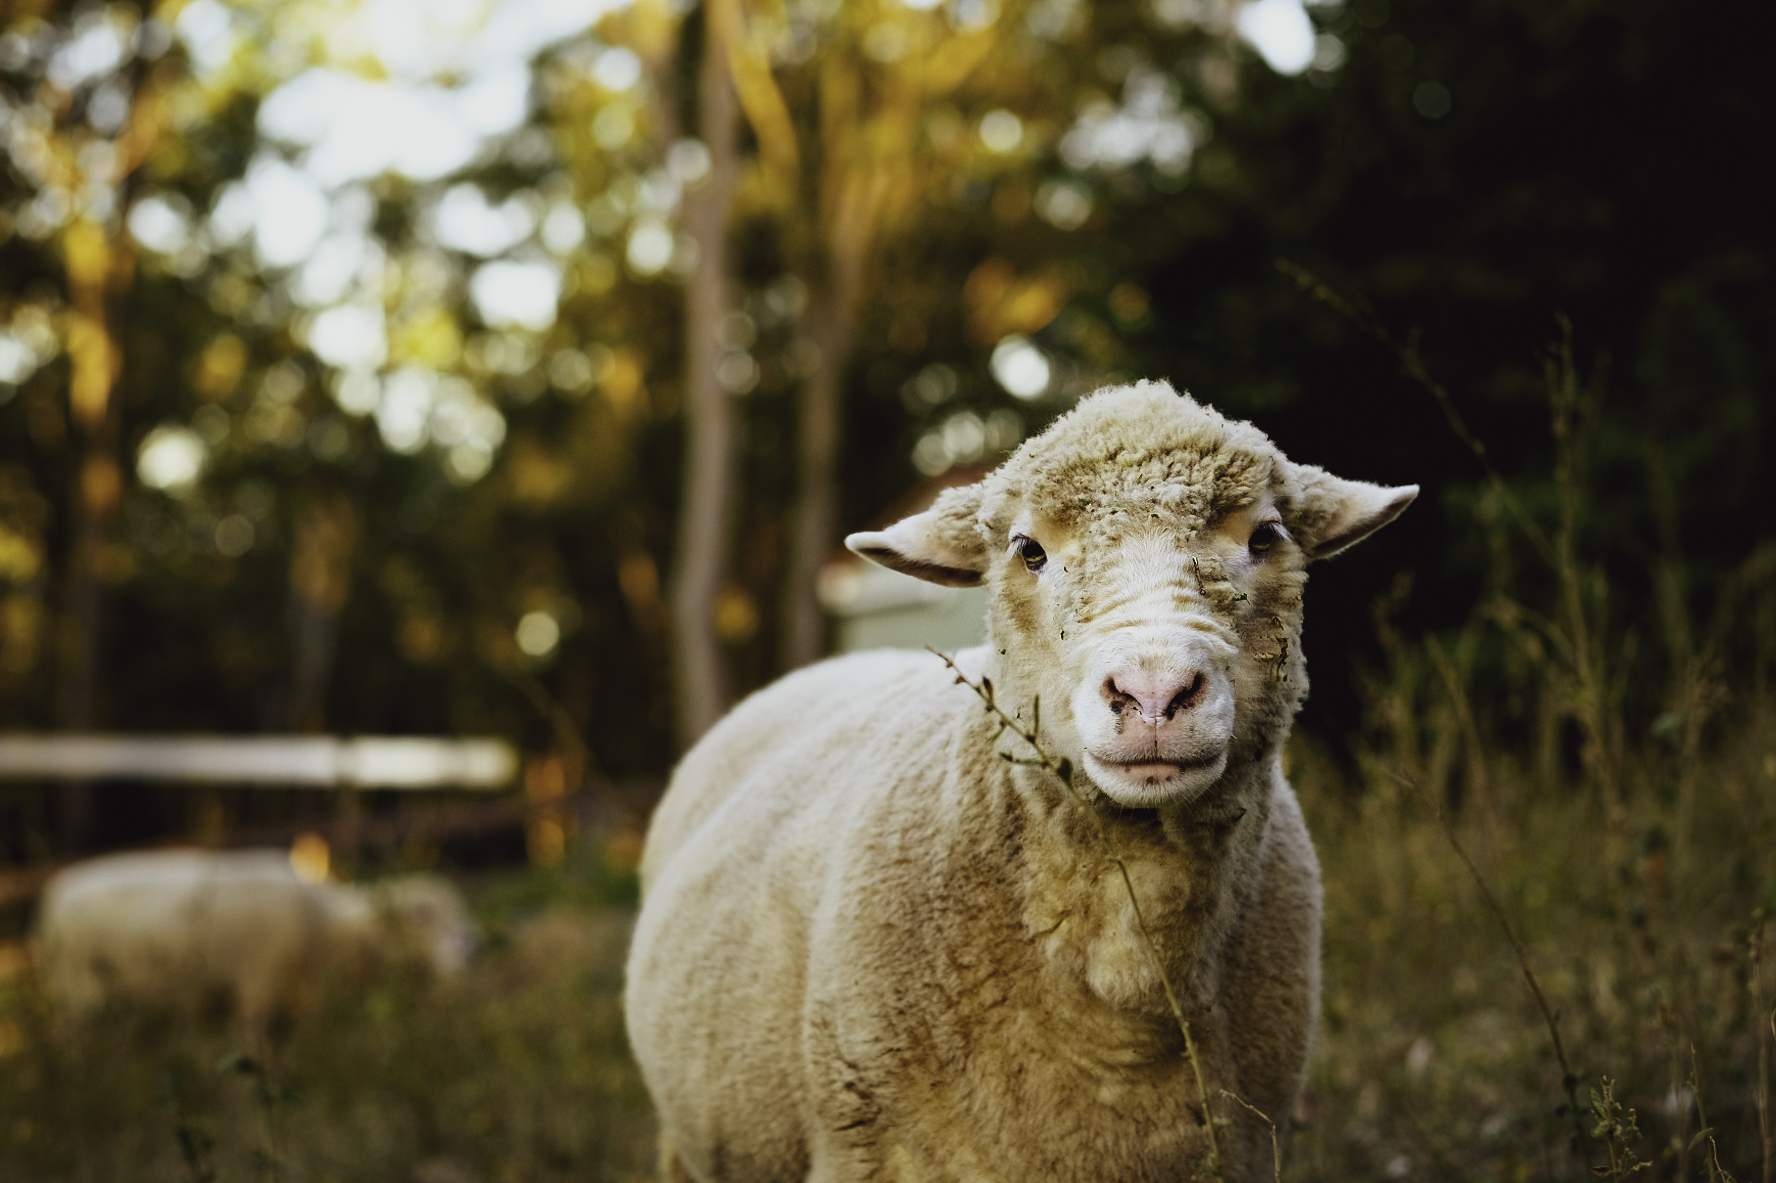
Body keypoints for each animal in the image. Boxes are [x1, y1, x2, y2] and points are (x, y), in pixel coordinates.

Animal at [39, 849, 475, 1023]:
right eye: (423, 918)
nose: (474, 946)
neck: (330, 927)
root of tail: (53, 899)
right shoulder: (257, 984)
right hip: (79, 991)